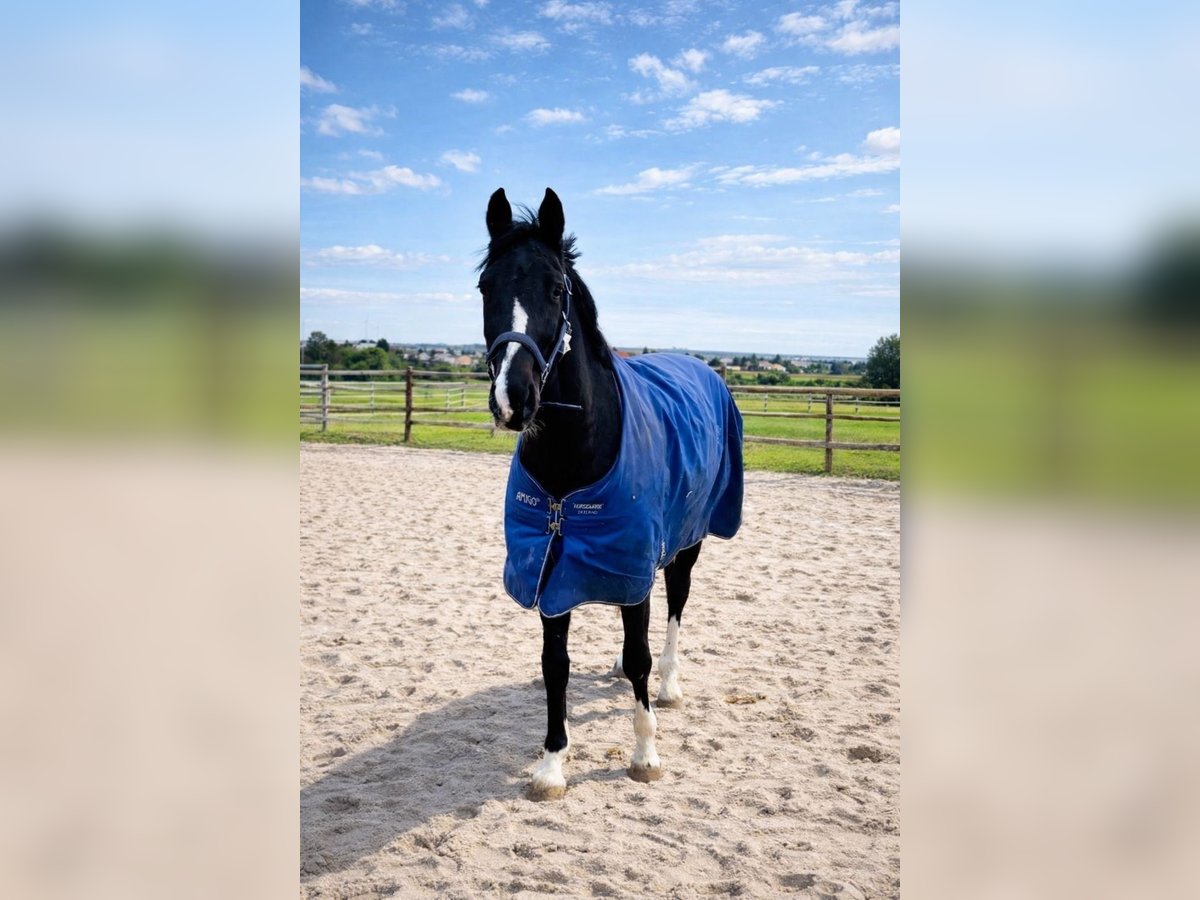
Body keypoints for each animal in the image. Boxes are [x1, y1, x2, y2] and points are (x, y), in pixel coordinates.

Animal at [477, 187, 743, 800]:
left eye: (556, 288)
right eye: (484, 287)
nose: (513, 399)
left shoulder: (630, 560)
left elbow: (640, 651)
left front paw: (645, 754)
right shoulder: (550, 568)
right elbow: (555, 663)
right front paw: (551, 763)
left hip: (686, 544)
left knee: (675, 606)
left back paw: (669, 684)